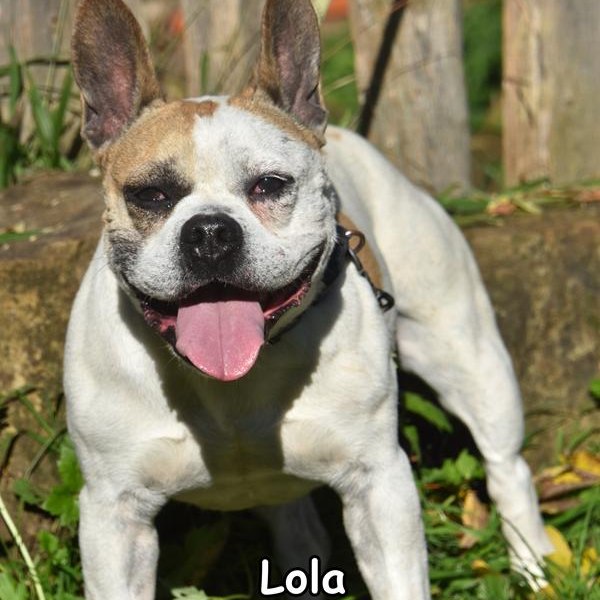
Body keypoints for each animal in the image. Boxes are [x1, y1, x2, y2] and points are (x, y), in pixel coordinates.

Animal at [64, 0, 552, 598]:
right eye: (150, 195)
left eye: (270, 185)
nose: (209, 232)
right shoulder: (114, 514)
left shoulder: (379, 485)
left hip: (468, 358)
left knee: (506, 465)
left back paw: (533, 563)